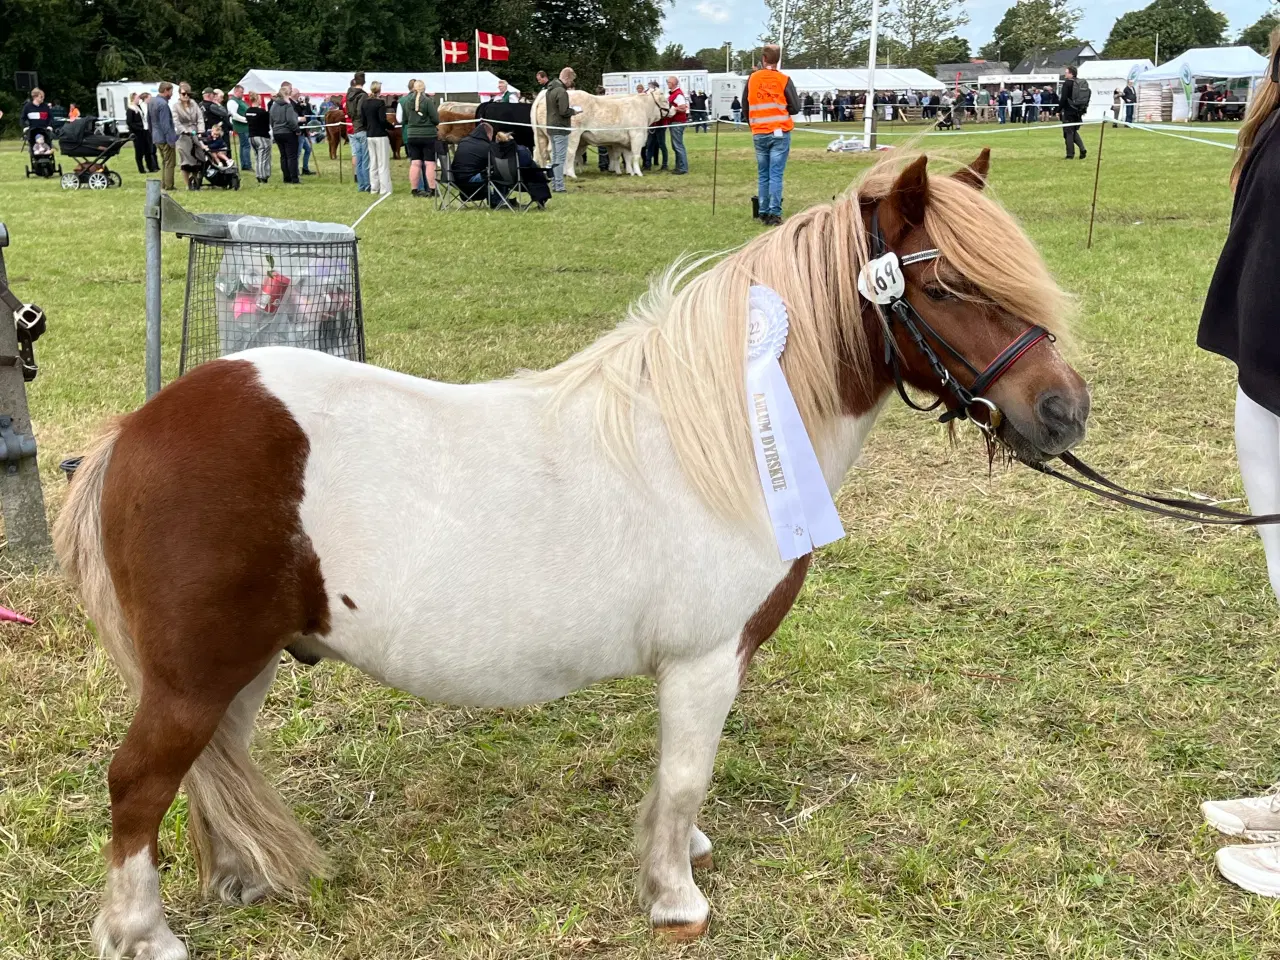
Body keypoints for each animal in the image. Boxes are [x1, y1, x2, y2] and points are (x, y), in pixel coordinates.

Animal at [55, 150, 1085, 960]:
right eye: (948, 286)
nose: (1064, 412)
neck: (724, 434)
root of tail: (137, 429)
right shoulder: (703, 661)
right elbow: (684, 776)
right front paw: (676, 901)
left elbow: (681, 781)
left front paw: (686, 855)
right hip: (193, 675)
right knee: (139, 783)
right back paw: (144, 934)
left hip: (243, 662)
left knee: (211, 764)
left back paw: (240, 880)